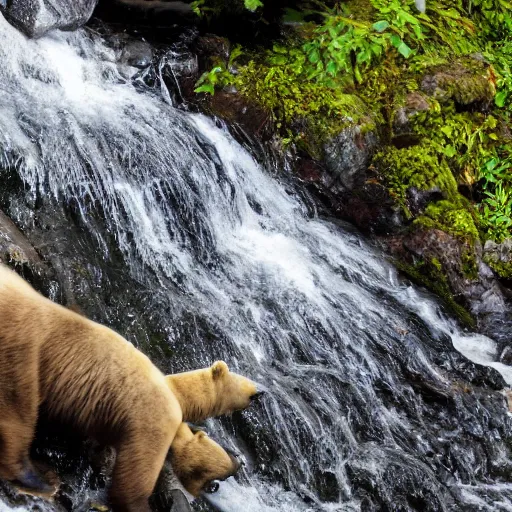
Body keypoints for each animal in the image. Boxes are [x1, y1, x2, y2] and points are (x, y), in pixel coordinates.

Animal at [0, 264, 258, 512]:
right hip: (25, 341)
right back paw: (39, 479)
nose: (261, 392)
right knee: (18, 409)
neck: (175, 392)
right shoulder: (151, 417)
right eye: (248, 390)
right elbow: (133, 478)